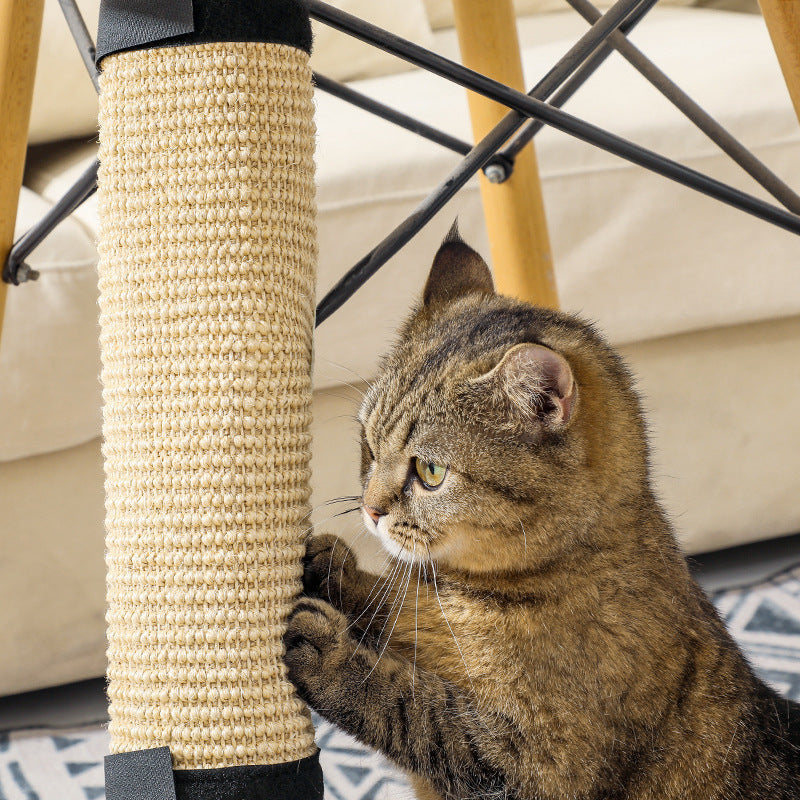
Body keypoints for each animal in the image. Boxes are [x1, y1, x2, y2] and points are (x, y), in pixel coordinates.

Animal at [282, 227, 800, 800]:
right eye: (368, 446)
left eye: (431, 471)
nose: (371, 509)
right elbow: (385, 607)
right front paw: (331, 566)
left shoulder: (536, 764)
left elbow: (412, 707)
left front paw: (329, 655)